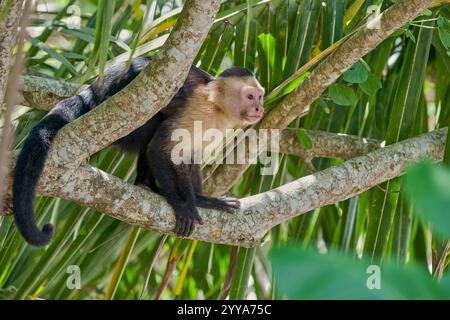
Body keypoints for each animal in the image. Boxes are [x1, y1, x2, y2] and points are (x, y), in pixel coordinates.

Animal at [14, 56, 266, 246]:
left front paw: (203, 200)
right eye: (249, 96)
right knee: (152, 127)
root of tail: (92, 95)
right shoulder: (198, 110)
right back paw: (151, 185)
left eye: (260, 97)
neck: (217, 106)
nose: (259, 108)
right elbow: (161, 149)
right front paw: (184, 204)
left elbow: (191, 156)